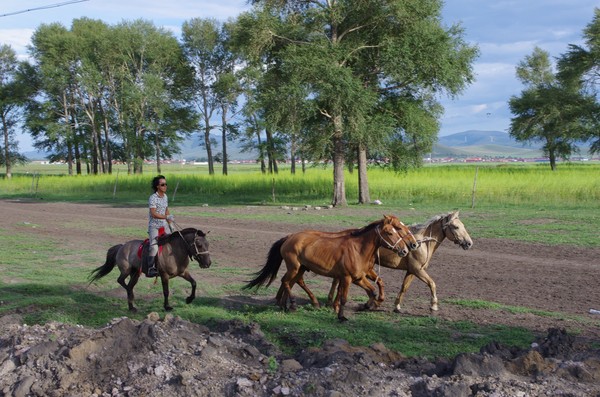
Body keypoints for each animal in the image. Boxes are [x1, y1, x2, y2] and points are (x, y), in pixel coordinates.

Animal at [244, 215, 408, 320]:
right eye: (390, 232)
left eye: (397, 229)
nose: (405, 250)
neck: (358, 250)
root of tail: (289, 237)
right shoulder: (347, 278)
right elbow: (343, 297)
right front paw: (341, 316)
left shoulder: (359, 277)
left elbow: (373, 290)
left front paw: (367, 306)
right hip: (294, 267)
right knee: (286, 281)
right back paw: (293, 304)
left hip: (301, 268)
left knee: (291, 282)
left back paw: (286, 305)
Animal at [328, 210, 474, 312]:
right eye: (456, 227)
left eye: (462, 225)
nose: (469, 243)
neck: (421, 243)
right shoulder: (418, 270)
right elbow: (432, 283)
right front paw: (433, 306)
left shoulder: (411, 271)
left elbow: (404, 287)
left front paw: (397, 306)